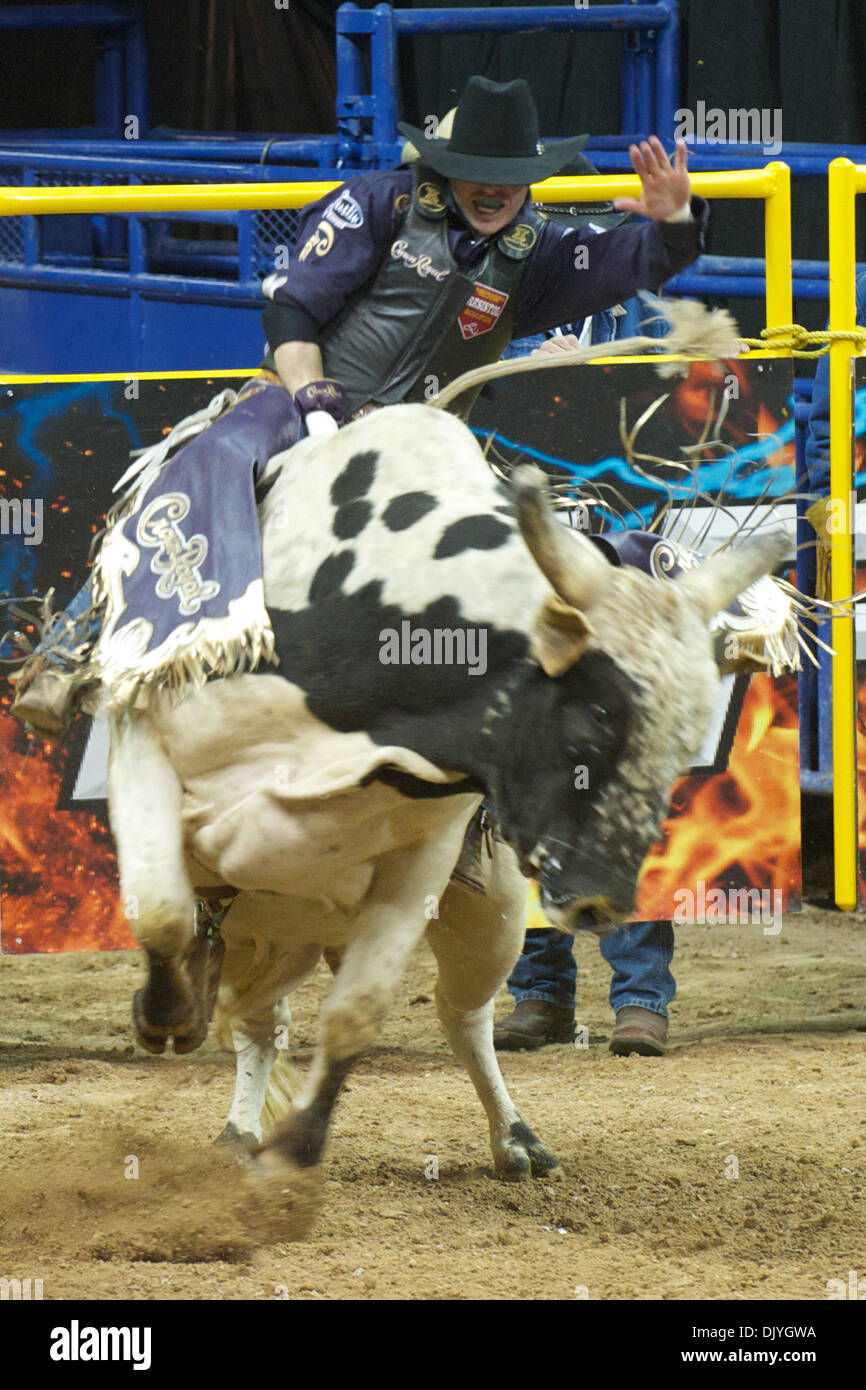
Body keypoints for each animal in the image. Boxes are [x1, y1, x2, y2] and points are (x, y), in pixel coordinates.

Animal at [104, 402, 787, 1236]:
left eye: (688, 738)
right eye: (598, 713)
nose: (604, 899)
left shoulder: (422, 859)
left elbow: (358, 1012)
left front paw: (294, 1153)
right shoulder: (144, 739)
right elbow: (163, 913)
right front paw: (164, 1017)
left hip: (483, 916)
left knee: (458, 1017)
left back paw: (514, 1137)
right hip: (271, 930)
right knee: (254, 1015)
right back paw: (232, 1117)